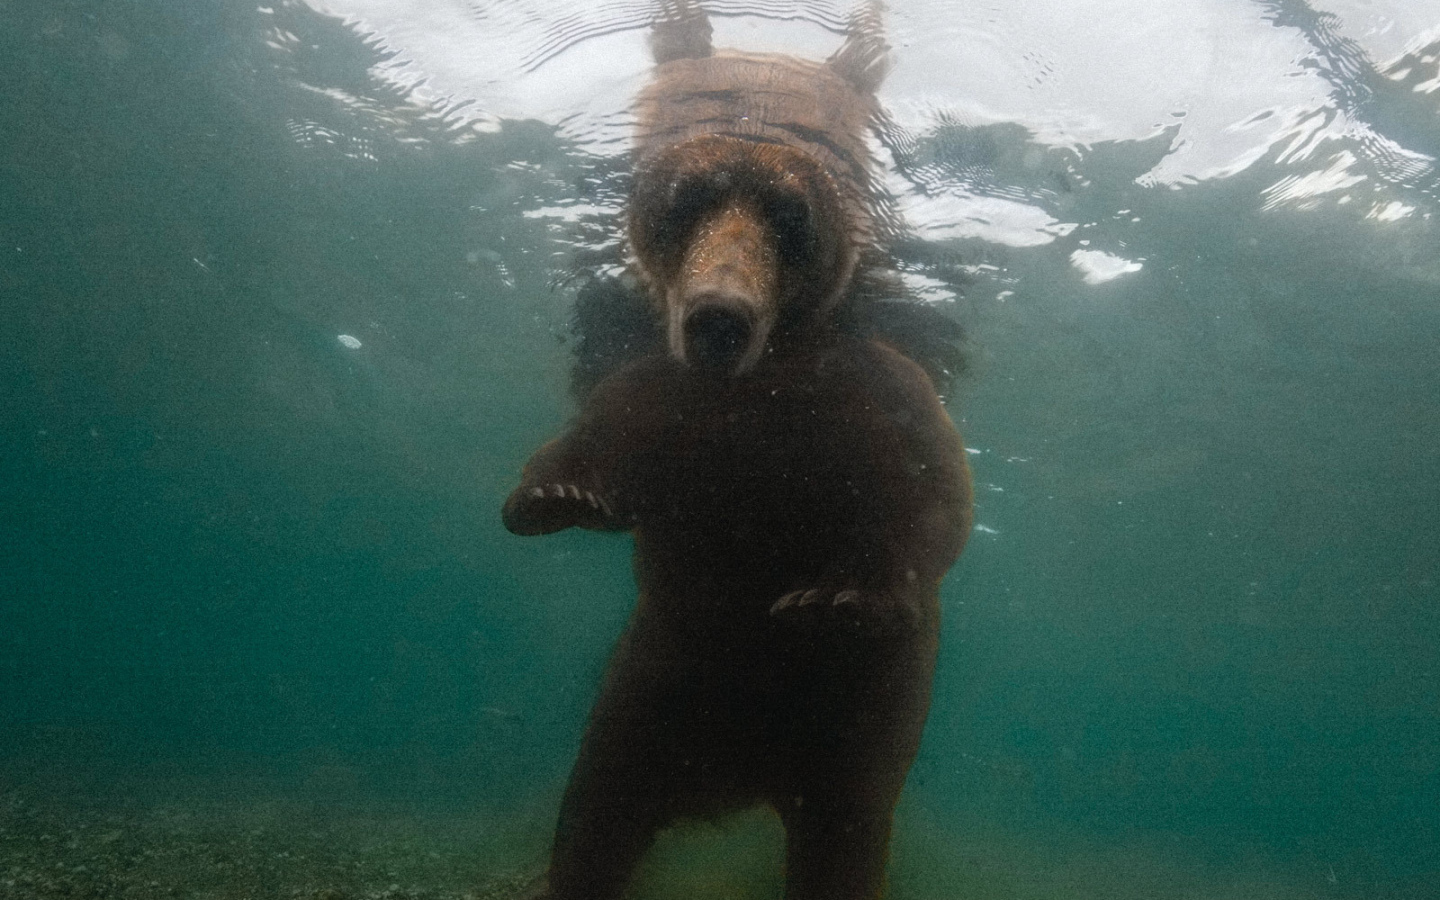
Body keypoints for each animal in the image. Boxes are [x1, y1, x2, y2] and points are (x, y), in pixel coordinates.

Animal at [502, 4, 973, 898]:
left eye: (790, 214)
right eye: (685, 201)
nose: (719, 315)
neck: (765, 383)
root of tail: (738, 778)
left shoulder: (873, 394)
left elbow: (930, 495)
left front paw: (842, 593)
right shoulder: (668, 397)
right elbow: (602, 440)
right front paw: (554, 496)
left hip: (852, 730)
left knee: (842, 840)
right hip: (650, 687)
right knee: (597, 816)